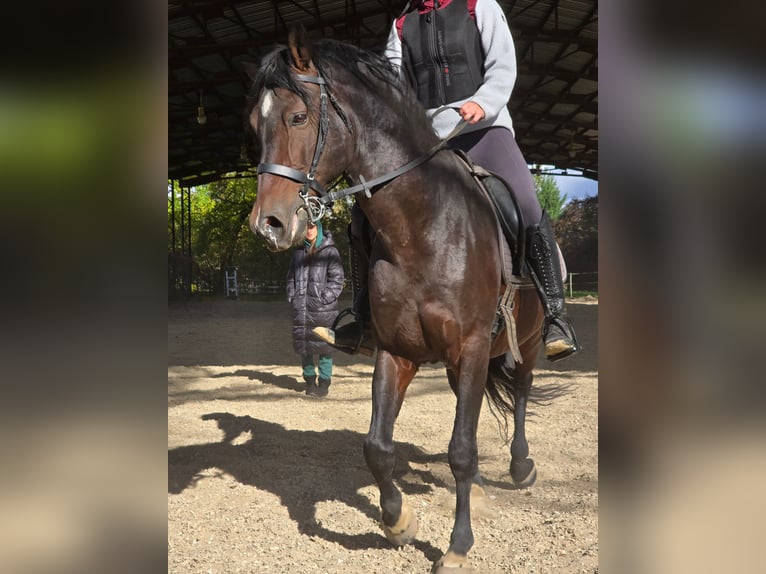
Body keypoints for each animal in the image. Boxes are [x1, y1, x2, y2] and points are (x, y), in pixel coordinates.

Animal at [246, 27, 548, 573]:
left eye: (297, 117)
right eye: (254, 124)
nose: (269, 225)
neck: (423, 224)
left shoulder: (473, 346)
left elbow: (461, 450)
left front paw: (458, 545)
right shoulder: (396, 351)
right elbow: (377, 447)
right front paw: (397, 521)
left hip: (528, 341)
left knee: (520, 392)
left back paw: (520, 466)